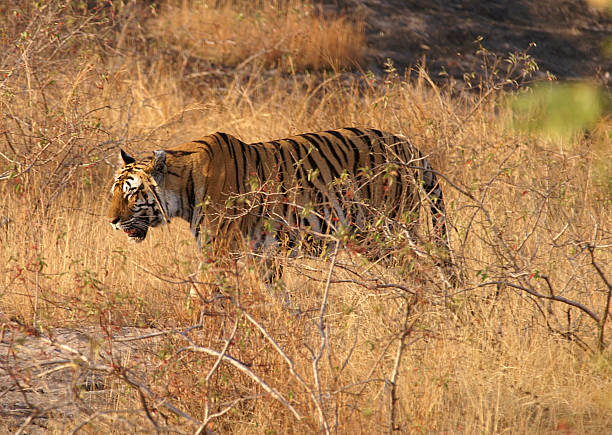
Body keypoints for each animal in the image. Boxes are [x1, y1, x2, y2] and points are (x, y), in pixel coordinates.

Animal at [107, 127, 454, 282]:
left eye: (131, 194)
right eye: (114, 192)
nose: (111, 222)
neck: (183, 188)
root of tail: (406, 143)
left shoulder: (218, 252)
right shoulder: (262, 254)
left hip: (386, 231)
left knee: (421, 269)